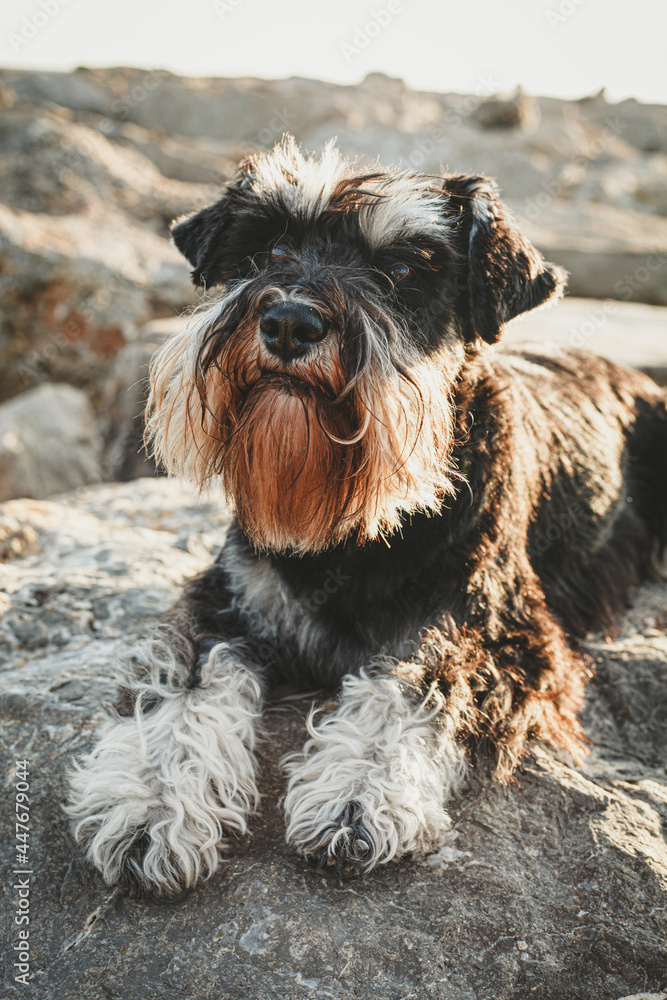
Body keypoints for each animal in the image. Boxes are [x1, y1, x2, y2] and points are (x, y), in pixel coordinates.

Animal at [65, 137, 664, 896]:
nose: (290, 322)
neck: (349, 532)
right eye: (268, 249)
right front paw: (150, 801)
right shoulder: (221, 604)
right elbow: (185, 688)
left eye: (402, 268)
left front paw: (359, 793)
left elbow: (413, 681)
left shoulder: (493, 629)